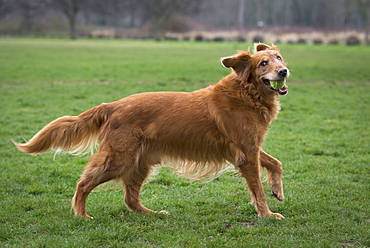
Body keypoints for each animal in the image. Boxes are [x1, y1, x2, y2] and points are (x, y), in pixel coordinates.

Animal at [13, 42, 290, 219]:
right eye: (263, 63)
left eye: (279, 58)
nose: (283, 70)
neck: (247, 93)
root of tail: (111, 105)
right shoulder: (245, 154)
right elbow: (257, 190)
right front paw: (267, 214)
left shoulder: (250, 147)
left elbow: (276, 162)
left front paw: (277, 190)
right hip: (120, 159)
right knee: (84, 184)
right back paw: (81, 215)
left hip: (140, 162)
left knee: (130, 198)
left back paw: (152, 213)